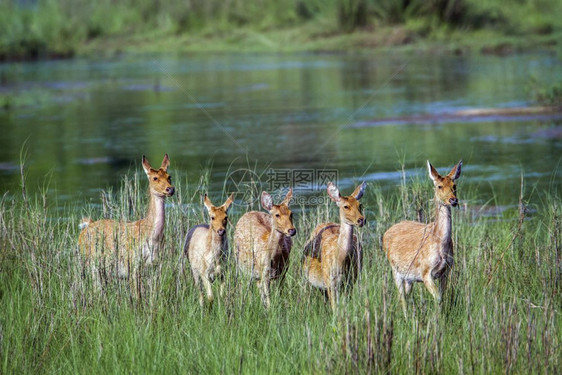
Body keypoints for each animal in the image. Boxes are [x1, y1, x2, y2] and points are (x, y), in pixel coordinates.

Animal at [76, 154, 173, 296]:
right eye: (155, 178)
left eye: (169, 176)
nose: (170, 189)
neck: (153, 237)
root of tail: (85, 228)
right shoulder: (132, 263)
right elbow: (137, 294)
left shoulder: (158, 264)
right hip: (91, 262)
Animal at [300, 182, 366, 312]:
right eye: (346, 206)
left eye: (359, 205)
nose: (361, 220)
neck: (341, 261)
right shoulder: (330, 281)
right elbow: (335, 307)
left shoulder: (351, 280)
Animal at [382, 160, 462, 316]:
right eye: (439, 186)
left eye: (454, 185)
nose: (453, 200)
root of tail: (385, 234)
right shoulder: (425, 271)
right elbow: (438, 297)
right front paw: (438, 318)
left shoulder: (446, 270)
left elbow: (442, 296)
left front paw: (442, 317)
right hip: (395, 270)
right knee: (402, 298)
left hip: (409, 277)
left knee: (406, 295)